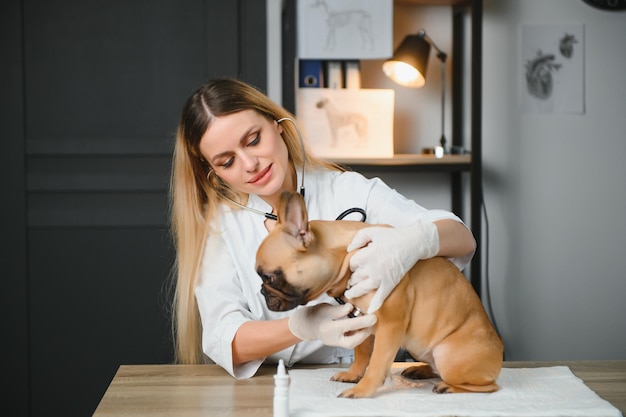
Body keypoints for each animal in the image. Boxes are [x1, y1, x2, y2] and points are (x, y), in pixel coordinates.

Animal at [254, 192, 502, 396]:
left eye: (268, 277)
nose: (262, 291)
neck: (349, 255)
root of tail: (499, 353)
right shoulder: (359, 318)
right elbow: (362, 352)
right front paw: (352, 374)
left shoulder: (390, 326)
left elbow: (377, 362)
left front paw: (363, 389)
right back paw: (421, 370)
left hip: (449, 358)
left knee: (488, 386)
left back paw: (448, 386)